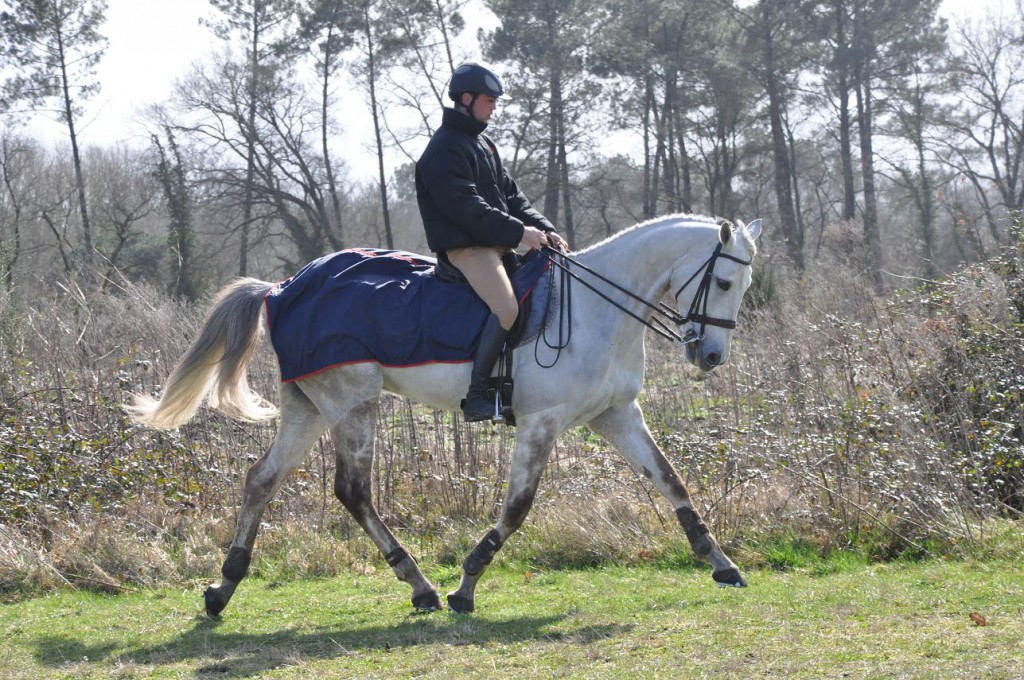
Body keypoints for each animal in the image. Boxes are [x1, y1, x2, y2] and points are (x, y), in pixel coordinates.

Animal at [128, 213, 761, 614]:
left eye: (743, 283)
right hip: (353, 402)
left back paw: (223, 588)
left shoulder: (617, 415)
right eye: (725, 279)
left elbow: (673, 483)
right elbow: (518, 508)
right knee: (353, 490)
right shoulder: (542, 423)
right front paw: (467, 585)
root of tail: (283, 287)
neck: (596, 310)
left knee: (262, 480)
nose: (710, 356)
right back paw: (423, 587)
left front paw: (722, 564)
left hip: (308, 407)